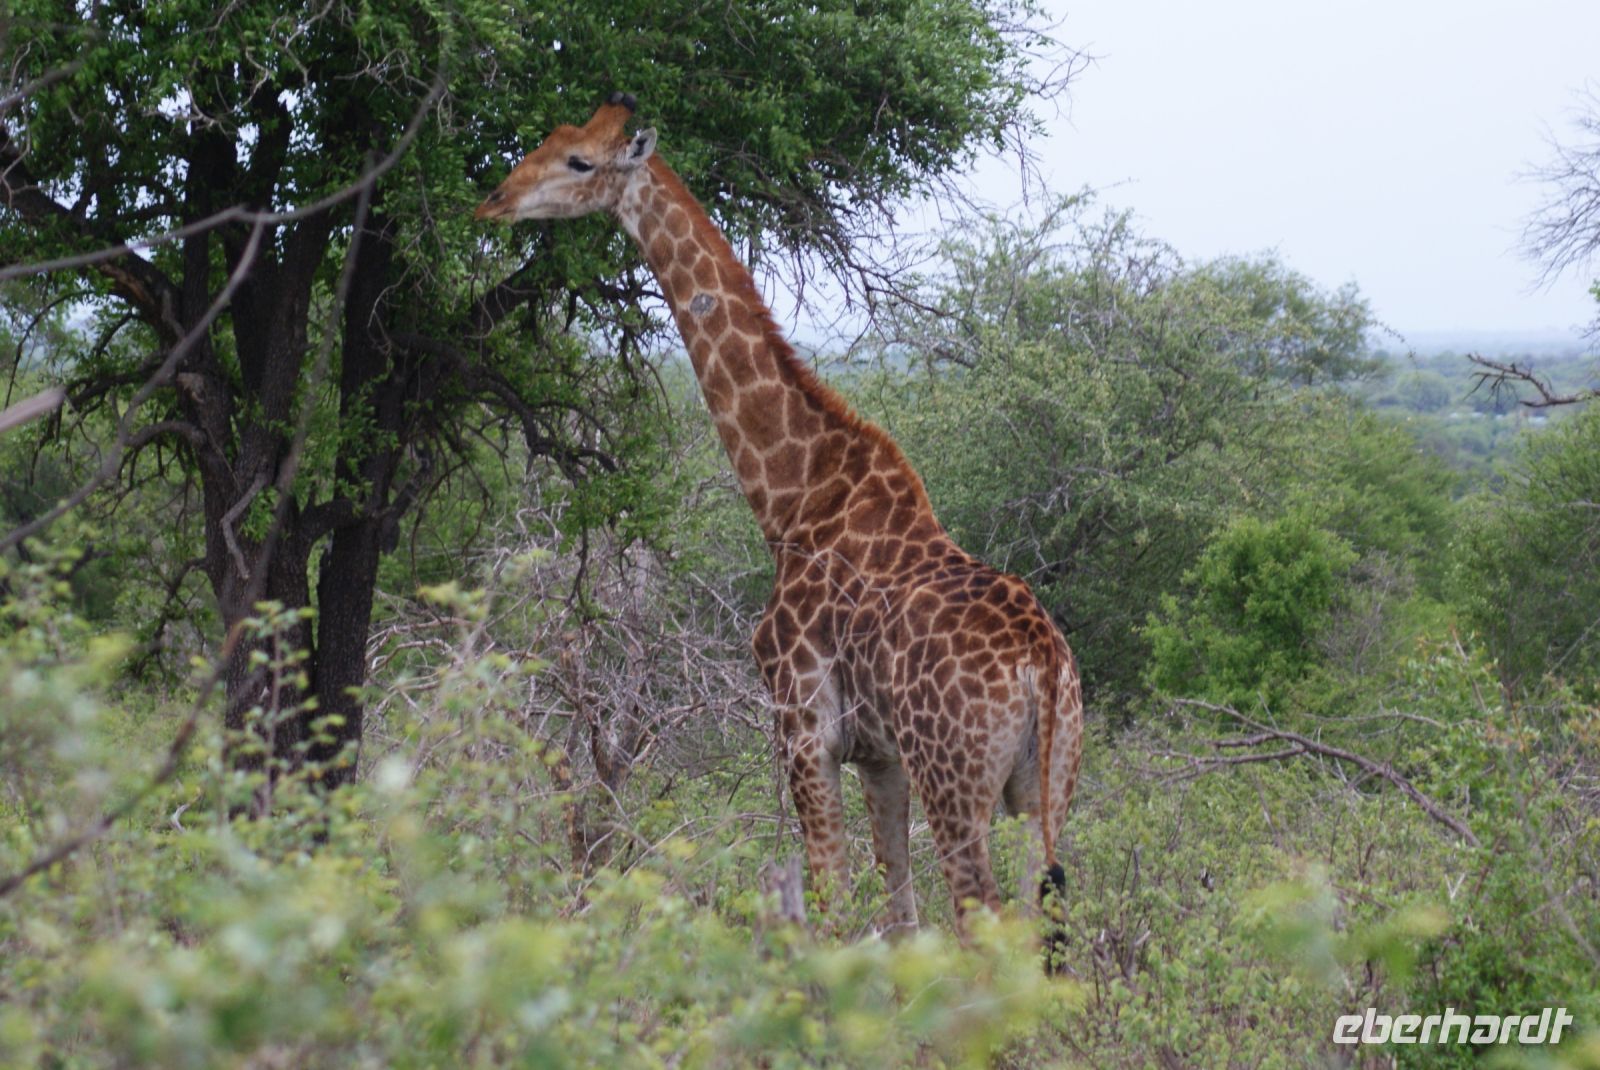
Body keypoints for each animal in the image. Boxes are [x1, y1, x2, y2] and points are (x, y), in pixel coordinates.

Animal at [476, 94, 1083, 954]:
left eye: (579, 162)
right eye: (553, 138)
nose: (494, 199)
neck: (793, 495)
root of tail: (1043, 663)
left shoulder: (801, 726)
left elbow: (826, 902)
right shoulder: (880, 756)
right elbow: (899, 916)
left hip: (958, 782)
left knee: (985, 931)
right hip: (1048, 790)